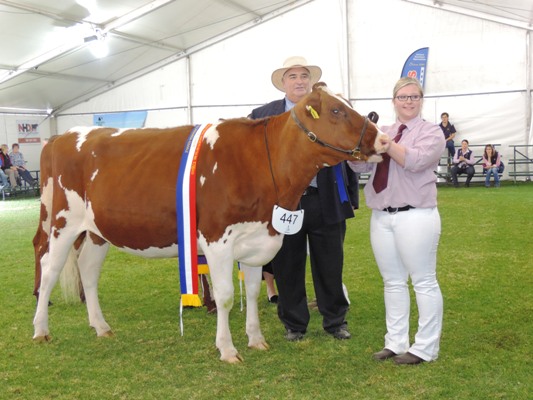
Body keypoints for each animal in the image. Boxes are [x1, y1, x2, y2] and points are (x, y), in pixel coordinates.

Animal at [32, 81, 382, 362]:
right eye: (336, 110)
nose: (380, 139)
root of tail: (62, 136)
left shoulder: (256, 238)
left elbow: (251, 292)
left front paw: (256, 340)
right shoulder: (217, 240)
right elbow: (226, 297)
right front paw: (227, 349)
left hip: (97, 231)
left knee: (88, 271)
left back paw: (101, 327)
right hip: (62, 223)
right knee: (49, 269)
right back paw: (40, 330)